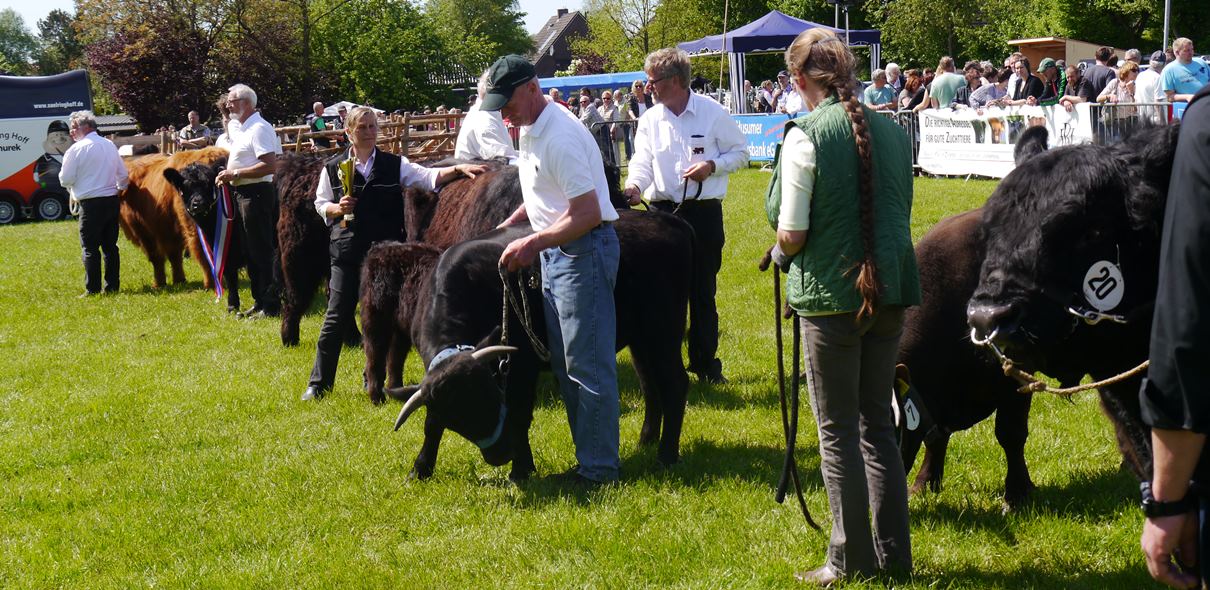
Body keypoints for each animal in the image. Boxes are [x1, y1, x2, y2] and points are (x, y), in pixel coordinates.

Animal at [120, 146, 228, 286]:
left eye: (209, 184)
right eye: (186, 187)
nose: (198, 204)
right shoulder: (165, 231)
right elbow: (173, 256)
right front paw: (178, 280)